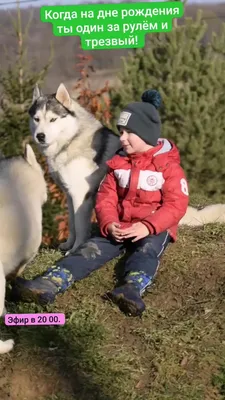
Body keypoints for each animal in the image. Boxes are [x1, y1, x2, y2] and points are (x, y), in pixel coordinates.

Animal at [28, 83, 120, 255]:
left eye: (53, 119)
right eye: (37, 119)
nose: (40, 136)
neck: (71, 140)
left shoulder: (81, 195)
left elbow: (79, 226)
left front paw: (76, 249)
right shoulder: (69, 195)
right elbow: (71, 223)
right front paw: (68, 244)